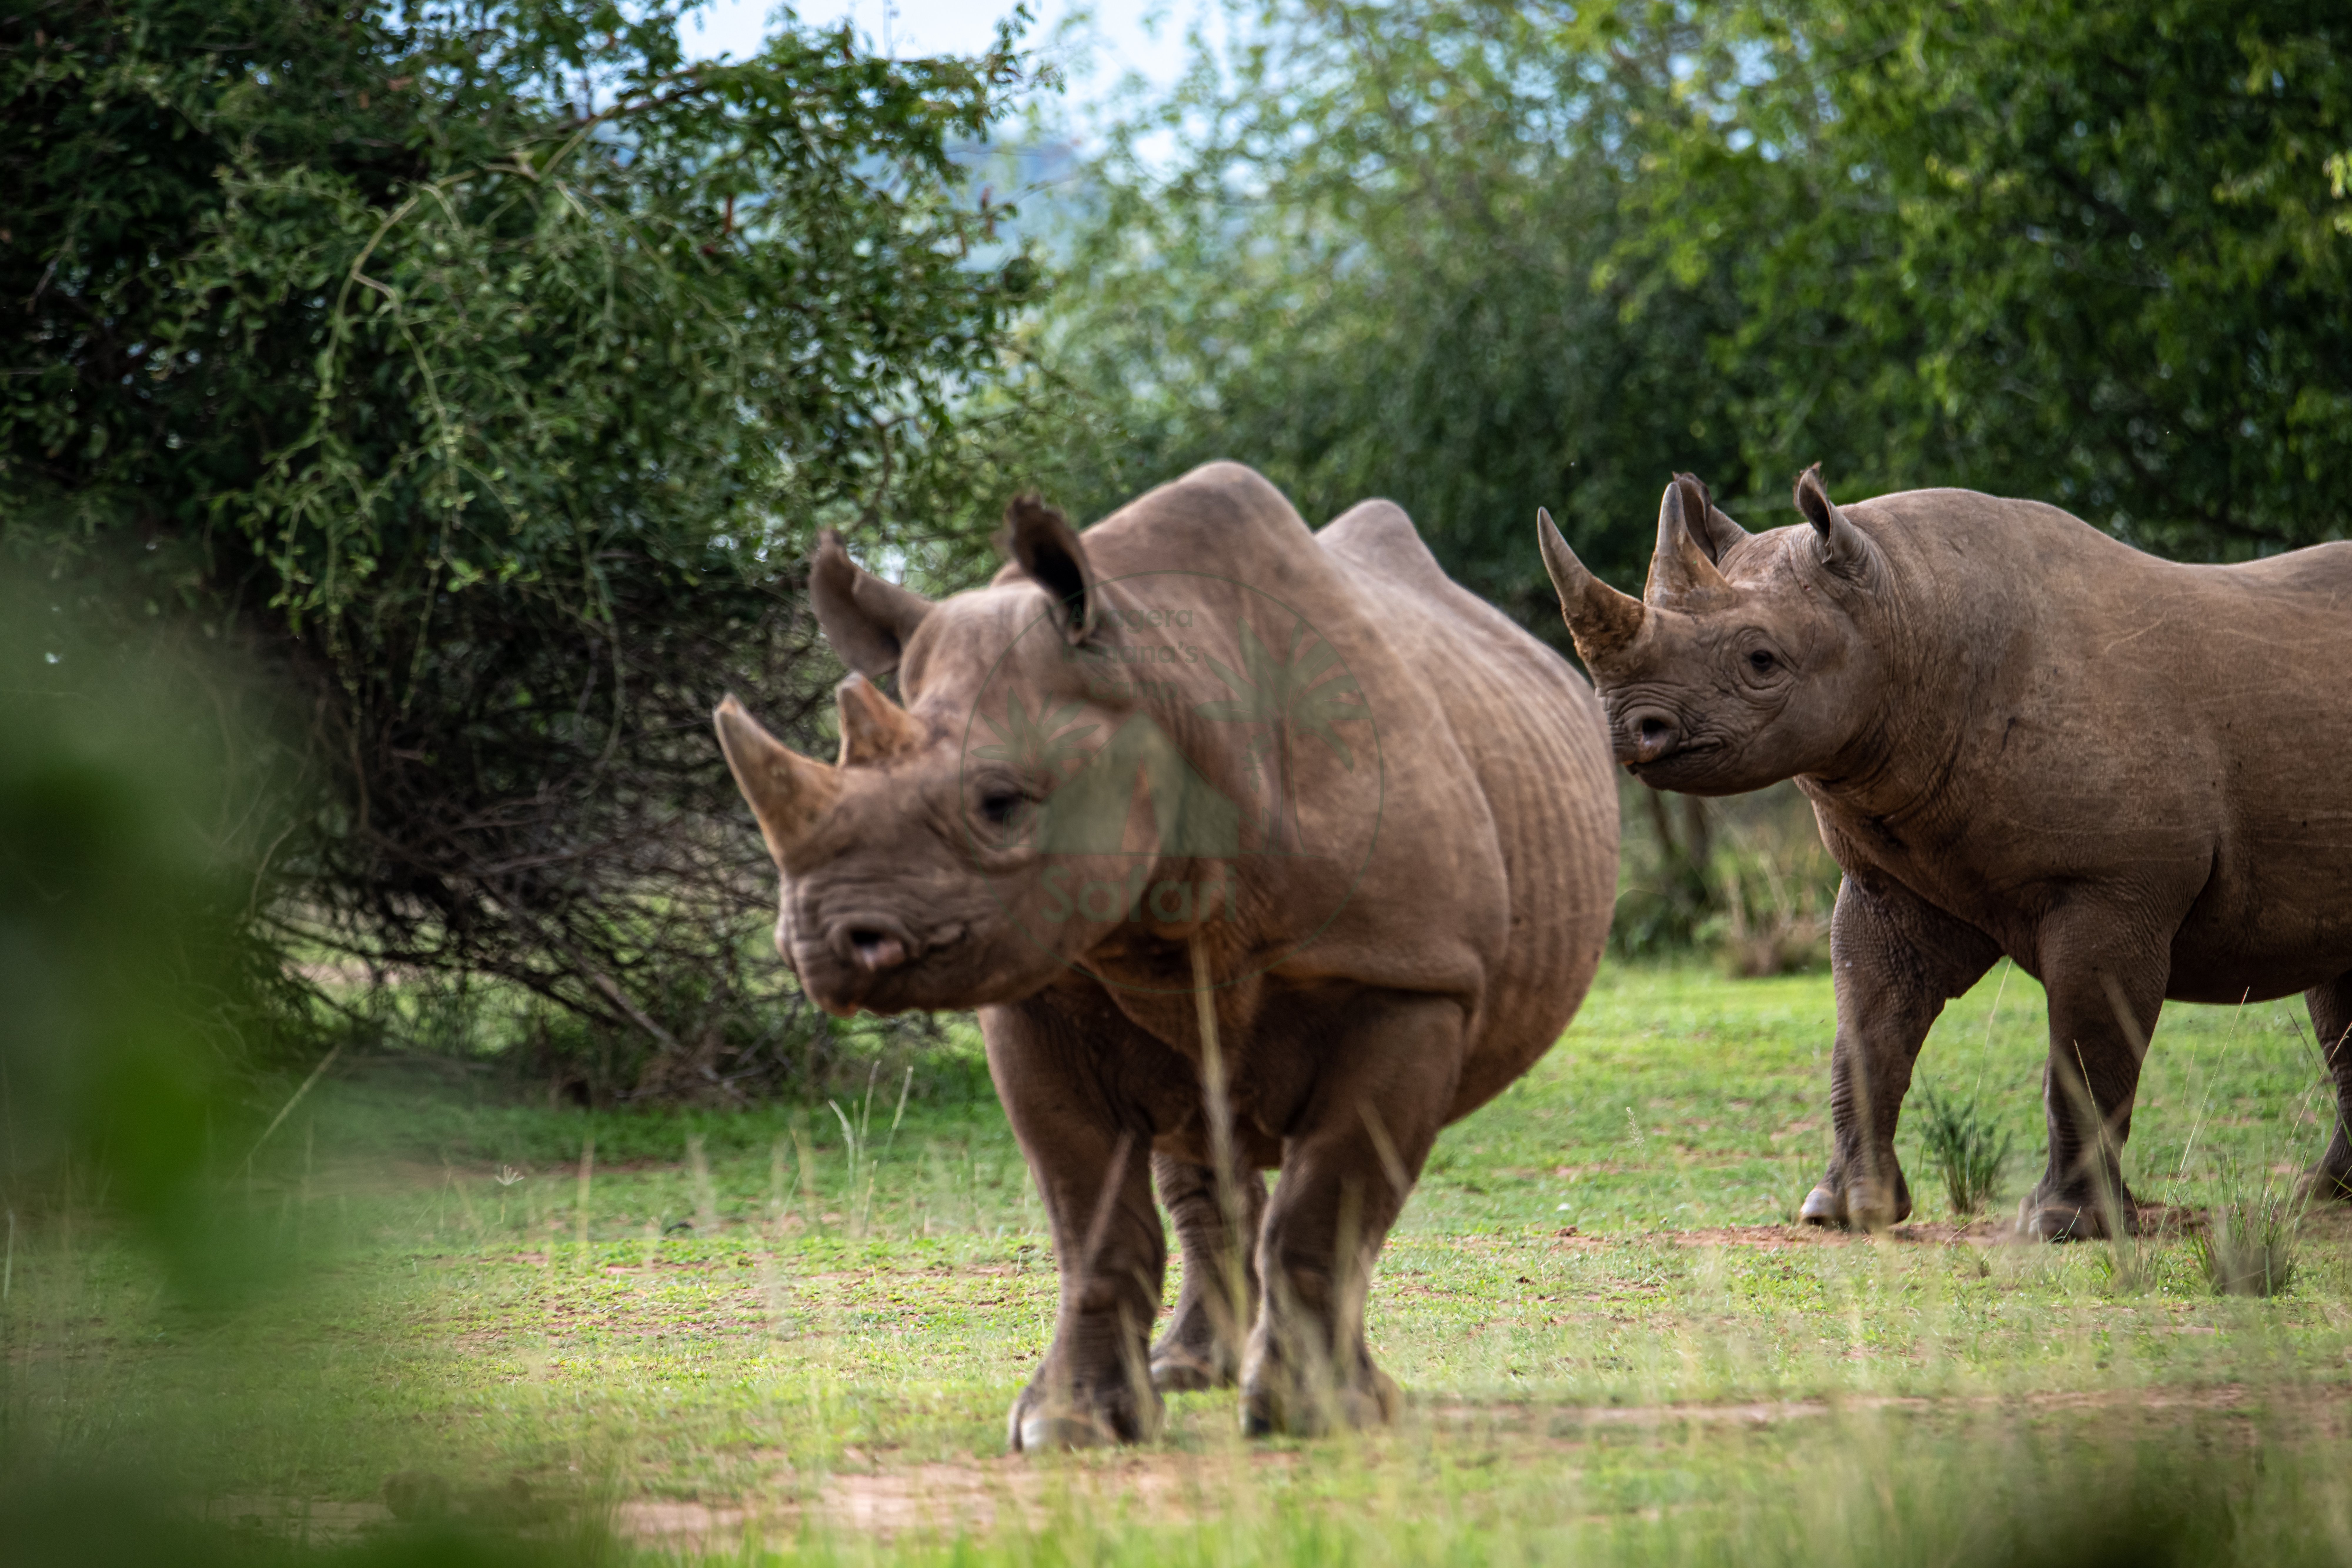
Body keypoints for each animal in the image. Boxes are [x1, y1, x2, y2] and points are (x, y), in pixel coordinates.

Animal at [715, 462, 1618, 1443]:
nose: (820, 943)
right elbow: (1091, 1218)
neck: (1161, 685)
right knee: (1197, 1135)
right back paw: (1188, 1373)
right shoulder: (1041, 985)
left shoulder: (1411, 975)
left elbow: (1331, 1204)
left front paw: (1316, 1415)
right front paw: (1070, 1424)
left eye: (1000, 803)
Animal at [1538, 467, 2352, 1239]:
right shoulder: (1892, 880)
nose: (1626, 727)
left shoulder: (2113, 884)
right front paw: (1844, 1209)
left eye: (1761, 660)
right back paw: (2322, 1201)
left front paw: (2061, 1226)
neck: (1902, 611)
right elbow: (1867, 1031)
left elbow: (2084, 1050)